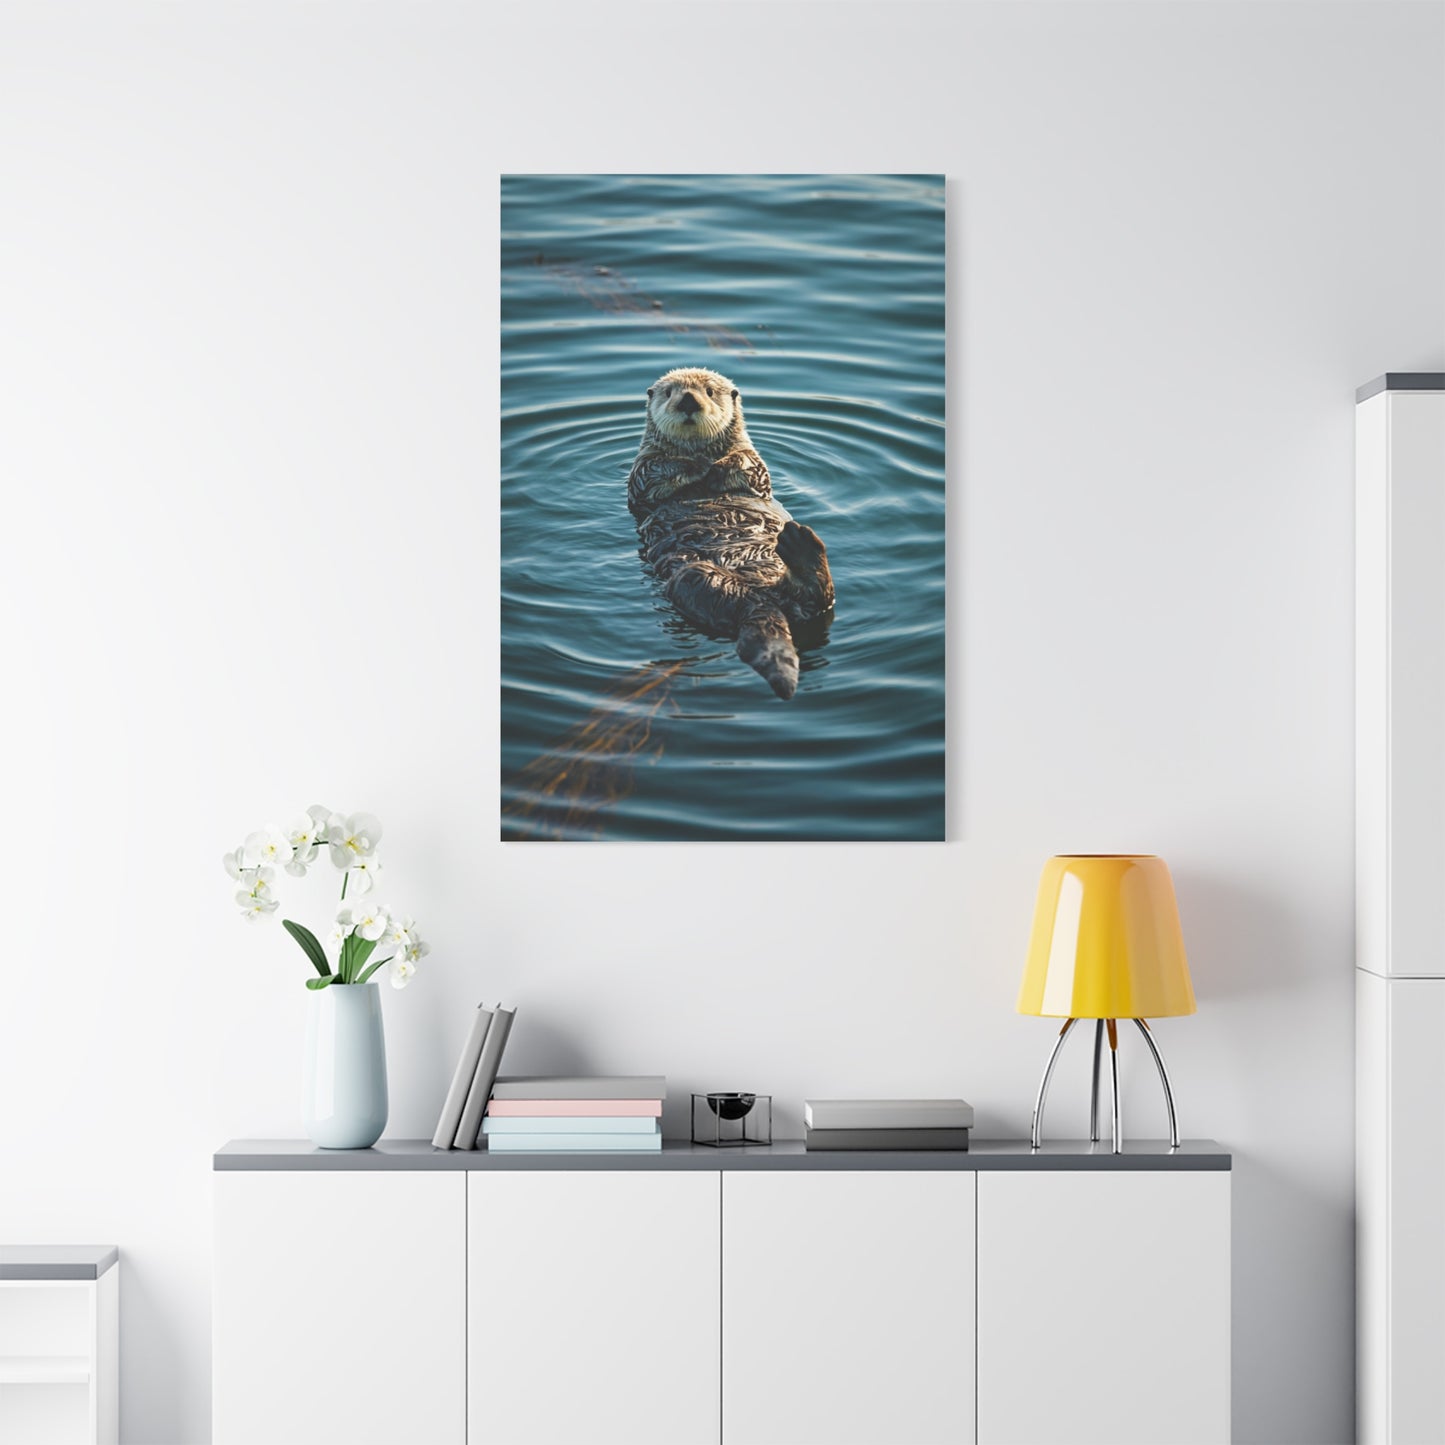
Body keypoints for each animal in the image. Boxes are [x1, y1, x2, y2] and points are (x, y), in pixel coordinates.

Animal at [627, 367, 834, 699]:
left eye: (710, 392)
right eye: (670, 392)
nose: (688, 400)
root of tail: (763, 600)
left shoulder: (755, 463)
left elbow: (751, 467)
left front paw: (718, 466)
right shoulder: (642, 470)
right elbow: (656, 470)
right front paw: (698, 465)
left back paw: (800, 548)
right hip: (696, 581)